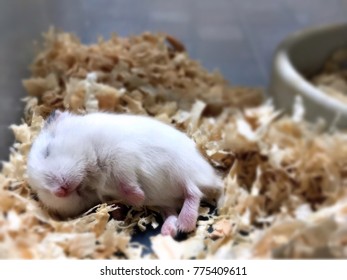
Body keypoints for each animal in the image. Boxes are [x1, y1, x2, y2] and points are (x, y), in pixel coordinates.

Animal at [27, 110, 223, 235]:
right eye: (40, 190)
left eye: (47, 151)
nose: (60, 192)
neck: (88, 175)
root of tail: (214, 178)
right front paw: (123, 208)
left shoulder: (120, 157)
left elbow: (126, 182)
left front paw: (138, 197)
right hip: (165, 200)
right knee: (172, 210)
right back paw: (169, 230)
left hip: (179, 169)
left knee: (193, 192)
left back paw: (185, 224)